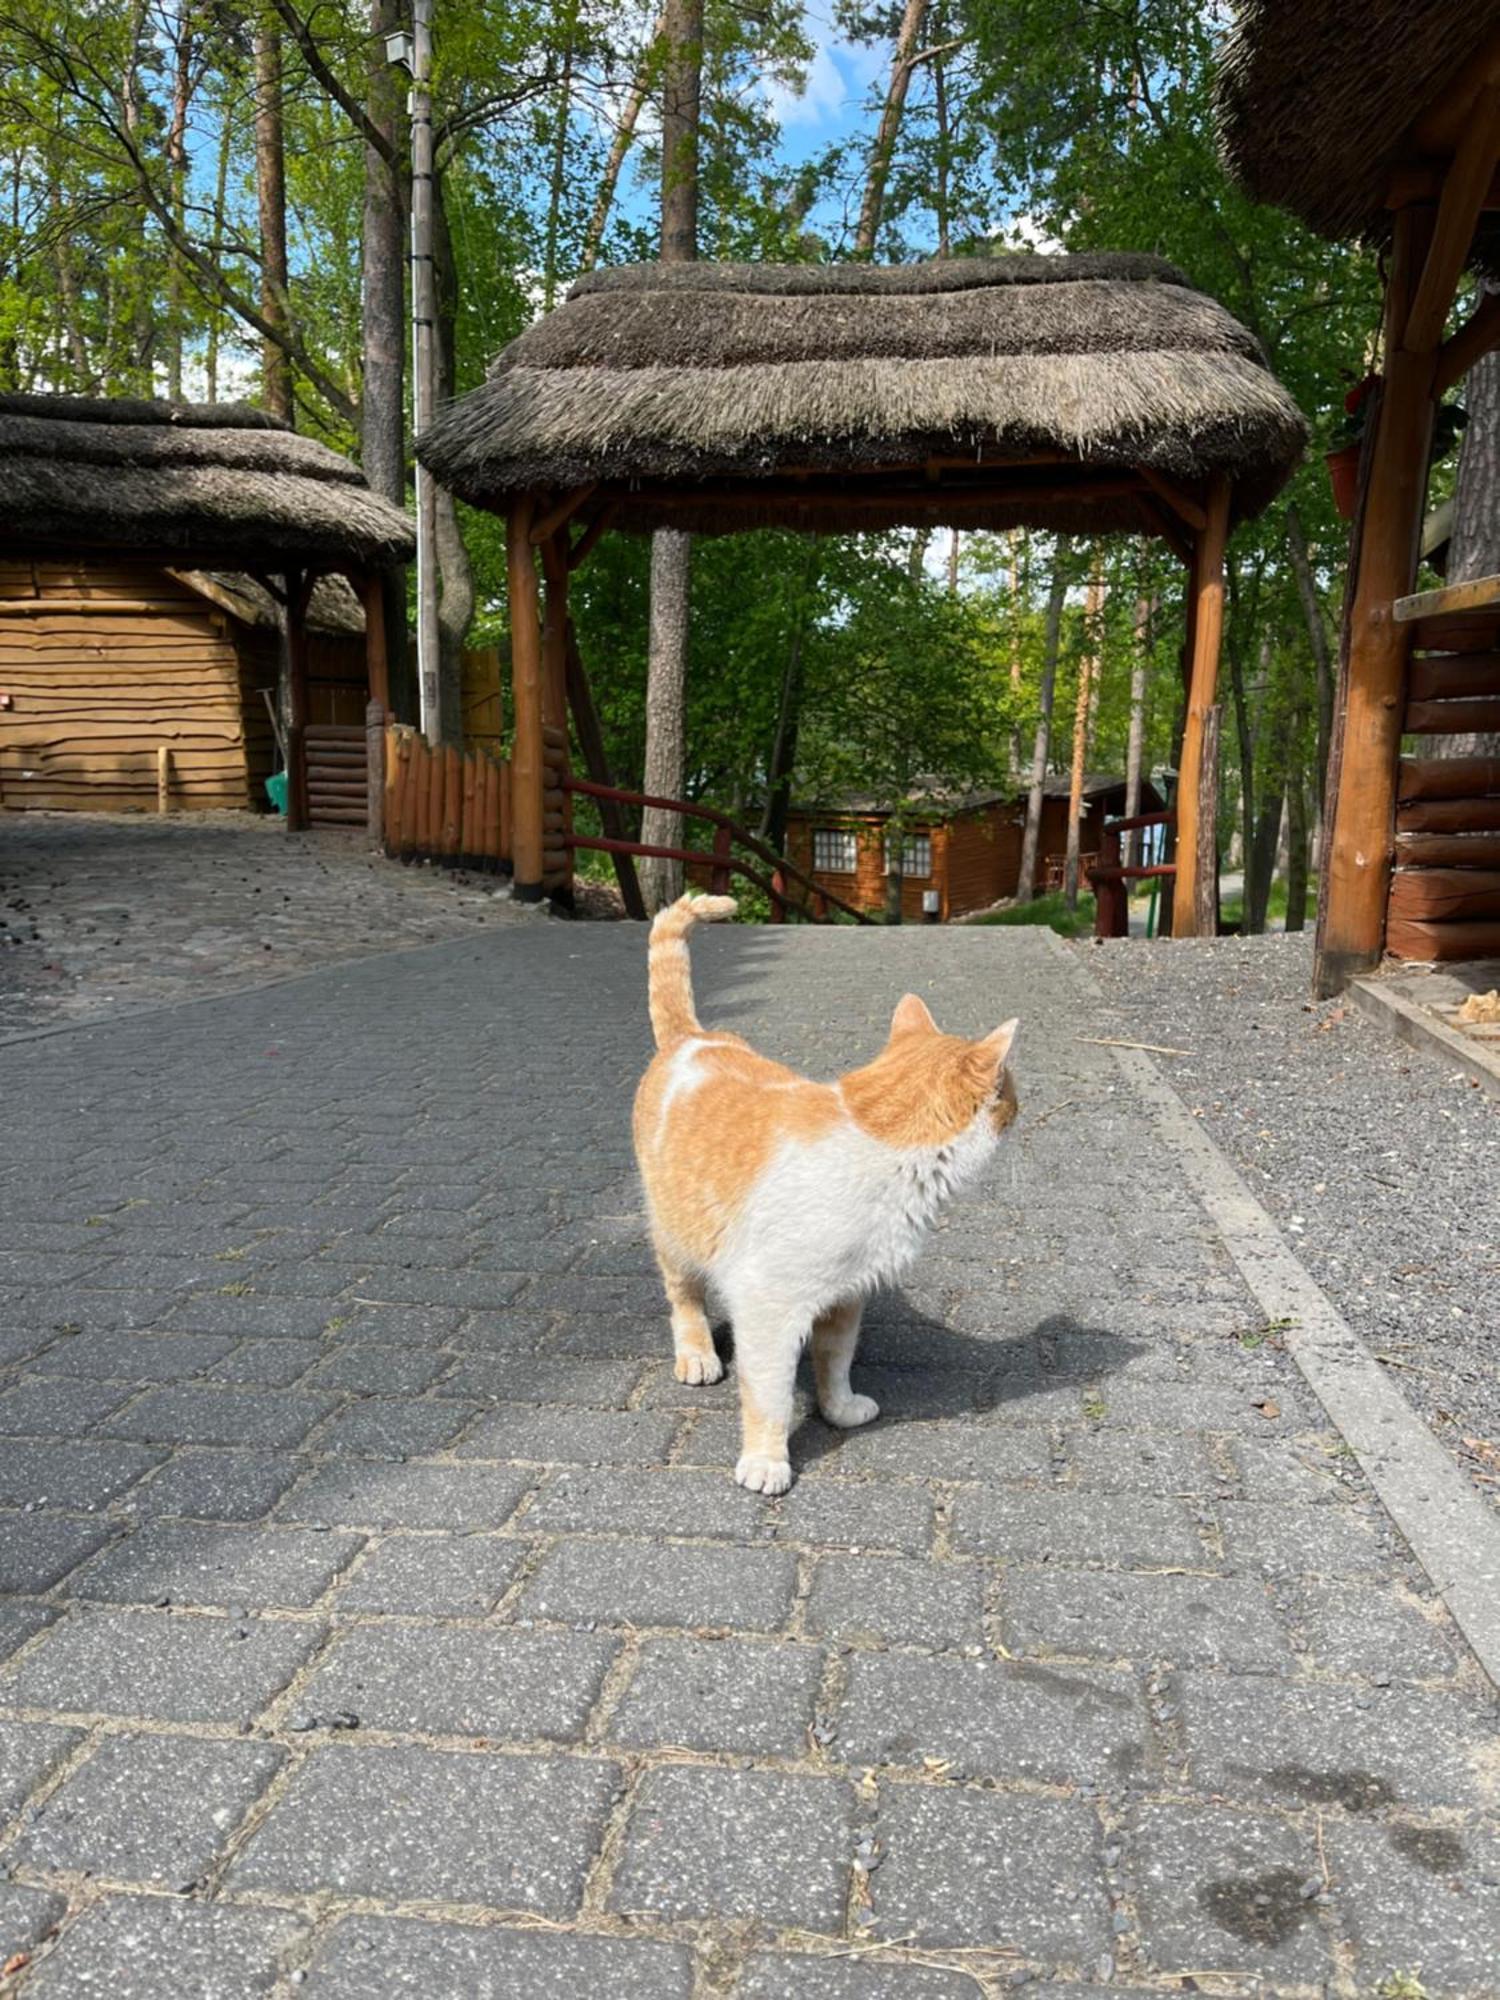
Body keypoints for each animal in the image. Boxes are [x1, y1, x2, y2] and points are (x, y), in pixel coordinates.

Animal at [636, 900, 1024, 1496]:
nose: (1023, 1106)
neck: (878, 1147)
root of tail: (692, 1039)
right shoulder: (768, 1308)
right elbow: (769, 1395)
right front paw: (767, 1460)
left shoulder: (847, 1295)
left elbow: (835, 1359)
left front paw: (838, 1408)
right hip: (677, 1234)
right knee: (684, 1299)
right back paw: (697, 1354)